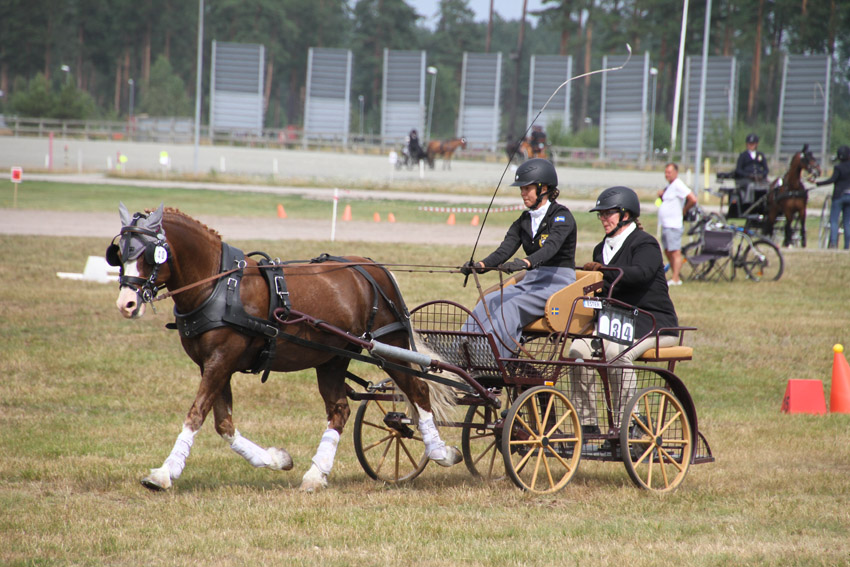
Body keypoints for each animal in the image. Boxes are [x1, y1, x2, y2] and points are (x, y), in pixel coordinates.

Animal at [111, 203, 464, 492]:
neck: (219, 286)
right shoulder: (212, 365)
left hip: (389, 346)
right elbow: (223, 423)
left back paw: (441, 452)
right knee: (339, 409)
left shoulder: (221, 361)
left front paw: (164, 473)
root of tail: (374, 267)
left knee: (418, 390)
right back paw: (315, 475)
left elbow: (196, 414)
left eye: (149, 254)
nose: (126, 304)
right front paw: (276, 459)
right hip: (332, 358)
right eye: (120, 253)